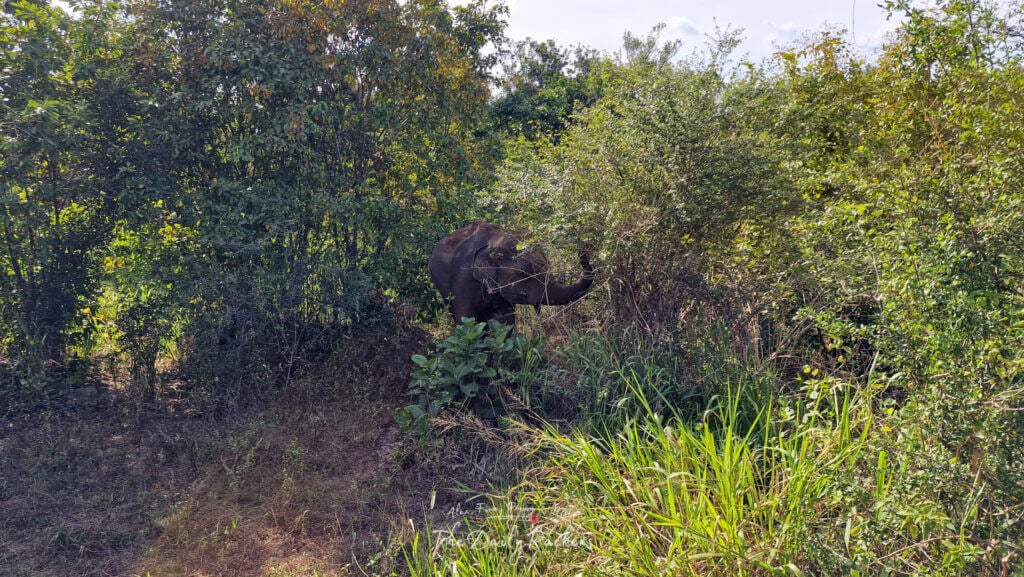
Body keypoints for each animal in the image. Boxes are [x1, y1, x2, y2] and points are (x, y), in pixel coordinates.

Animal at [428, 222, 594, 327]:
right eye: (523, 274)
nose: (584, 248)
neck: (495, 242)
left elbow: (505, 320)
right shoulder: (463, 276)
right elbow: (465, 318)